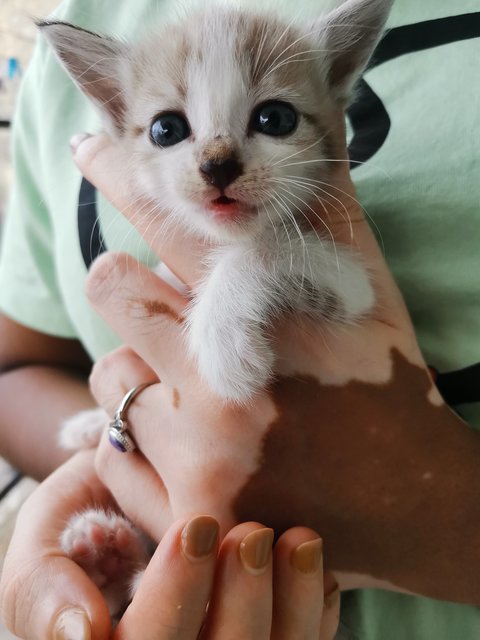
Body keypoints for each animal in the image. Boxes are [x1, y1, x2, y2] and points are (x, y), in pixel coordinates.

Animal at [39, 0, 394, 620]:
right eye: (166, 129)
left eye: (275, 118)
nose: (218, 165)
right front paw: (87, 423)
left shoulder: (354, 287)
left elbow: (261, 248)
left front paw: (223, 346)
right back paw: (103, 549)